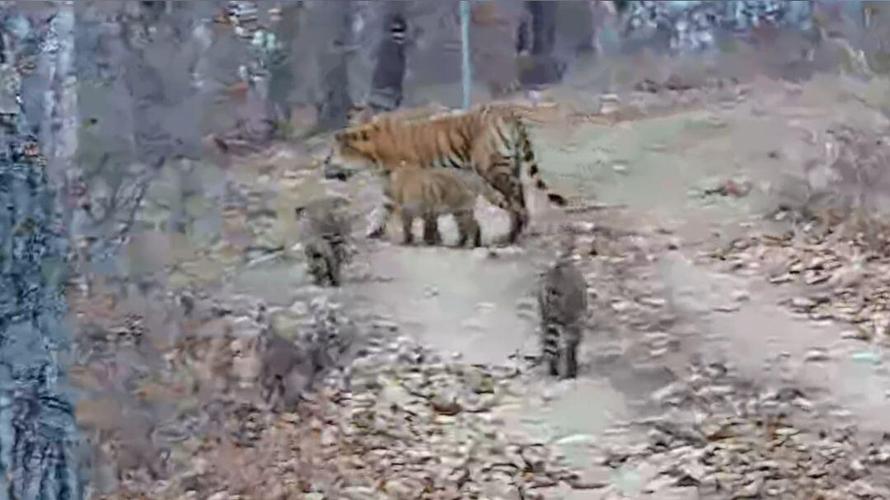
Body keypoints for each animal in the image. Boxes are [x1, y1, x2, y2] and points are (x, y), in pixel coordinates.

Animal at [329, 102, 568, 245]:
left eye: (329, 156)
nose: (324, 167)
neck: (373, 152)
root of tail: (507, 112)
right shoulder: (392, 186)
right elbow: (383, 208)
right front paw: (372, 231)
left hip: (492, 169)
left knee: (515, 200)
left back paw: (512, 235)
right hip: (511, 165)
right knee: (519, 196)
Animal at [537, 231, 588, 379]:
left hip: (544, 309)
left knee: (546, 335)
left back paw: (553, 367)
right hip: (571, 310)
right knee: (571, 340)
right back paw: (571, 368)